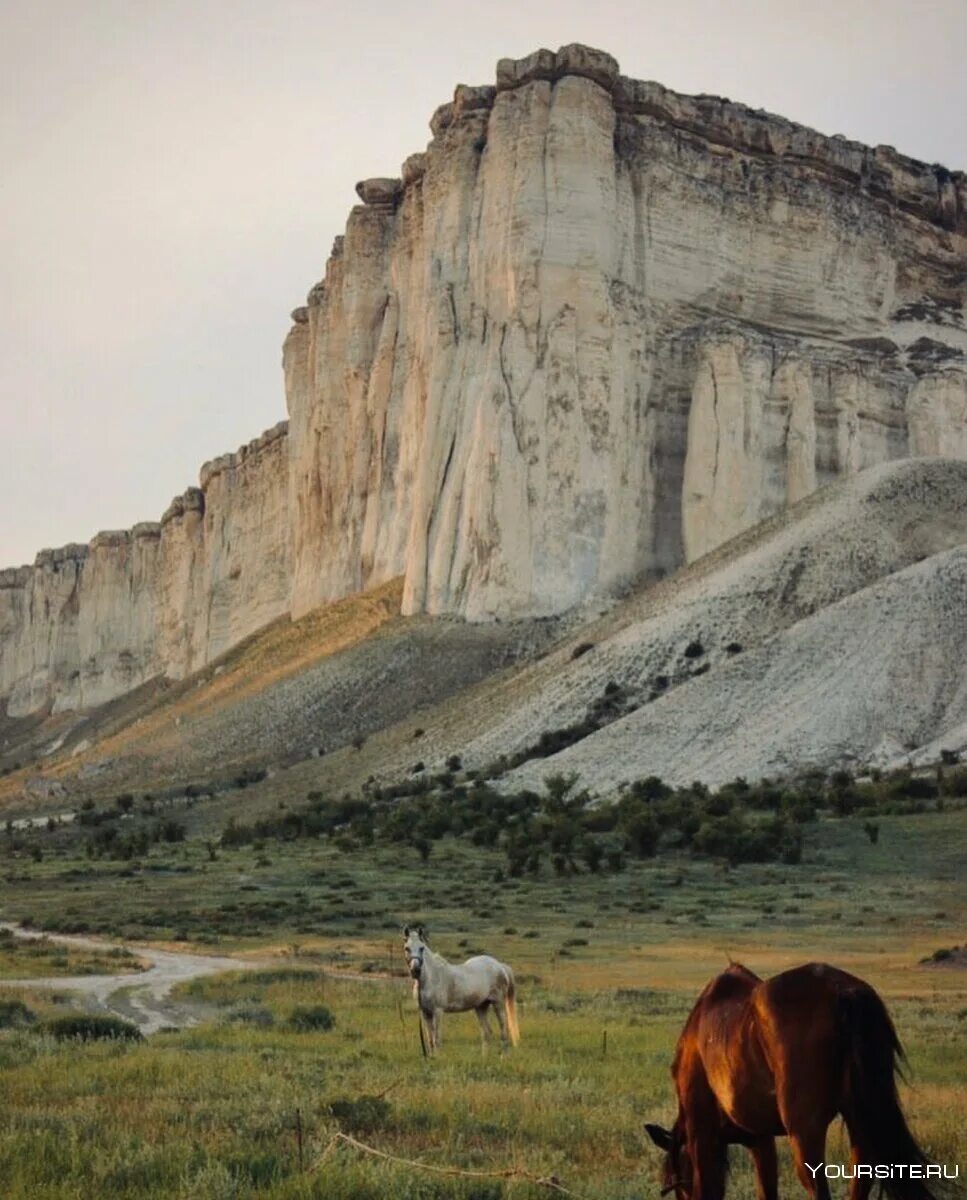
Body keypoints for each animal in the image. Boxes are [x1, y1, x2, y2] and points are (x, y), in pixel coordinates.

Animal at [403, 921, 523, 1056]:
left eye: (422, 948)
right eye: (407, 948)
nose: (415, 970)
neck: (430, 977)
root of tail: (500, 966)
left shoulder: (438, 1011)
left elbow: (436, 1038)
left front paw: (438, 1058)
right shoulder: (425, 1013)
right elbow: (430, 1040)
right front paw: (432, 1057)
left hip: (498, 1003)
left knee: (504, 1029)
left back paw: (504, 1057)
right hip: (481, 1006)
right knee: (486, 1032)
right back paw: (484, 1057)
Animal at [647, 960, 940, 1200]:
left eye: (678, 1185)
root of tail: (841, 991)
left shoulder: (702, 1129)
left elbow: (706, 1188)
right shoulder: (760, 1138)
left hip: (804, 1133)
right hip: (859, 1122)